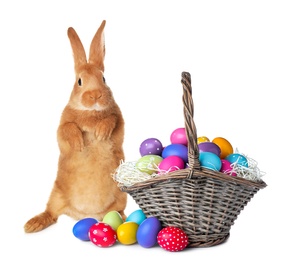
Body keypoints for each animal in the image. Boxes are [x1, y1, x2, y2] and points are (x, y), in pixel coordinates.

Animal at [23, 19, 126, 233]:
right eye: (79, 81)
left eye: (103, 78)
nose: (95, 95)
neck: (91, 112)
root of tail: (82, 215)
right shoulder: (62, 126)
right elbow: (67, 129)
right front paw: (79, 142)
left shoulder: (119, 121)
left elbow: (112, 120)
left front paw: (101, 133)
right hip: (56, 194)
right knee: (51, 213)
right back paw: (32, 225)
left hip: (121, 197)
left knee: (117, 212)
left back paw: (122, 219)